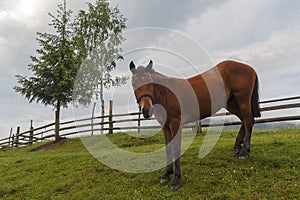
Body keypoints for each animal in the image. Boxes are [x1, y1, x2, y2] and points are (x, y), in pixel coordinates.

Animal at [129, 59, 260, 191]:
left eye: (150, 83)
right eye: (133, 84)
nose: (147, 110)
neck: (166, 94)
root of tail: (249, 68)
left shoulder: (176, 125)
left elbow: (176, 149)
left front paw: (176, 179)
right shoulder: (165, 127)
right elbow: (168, 149)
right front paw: (166, 174)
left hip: (242, 100)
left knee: (248, 120)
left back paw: (244, 152)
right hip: (231, 103)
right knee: (244, 120)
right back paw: (238, 147)